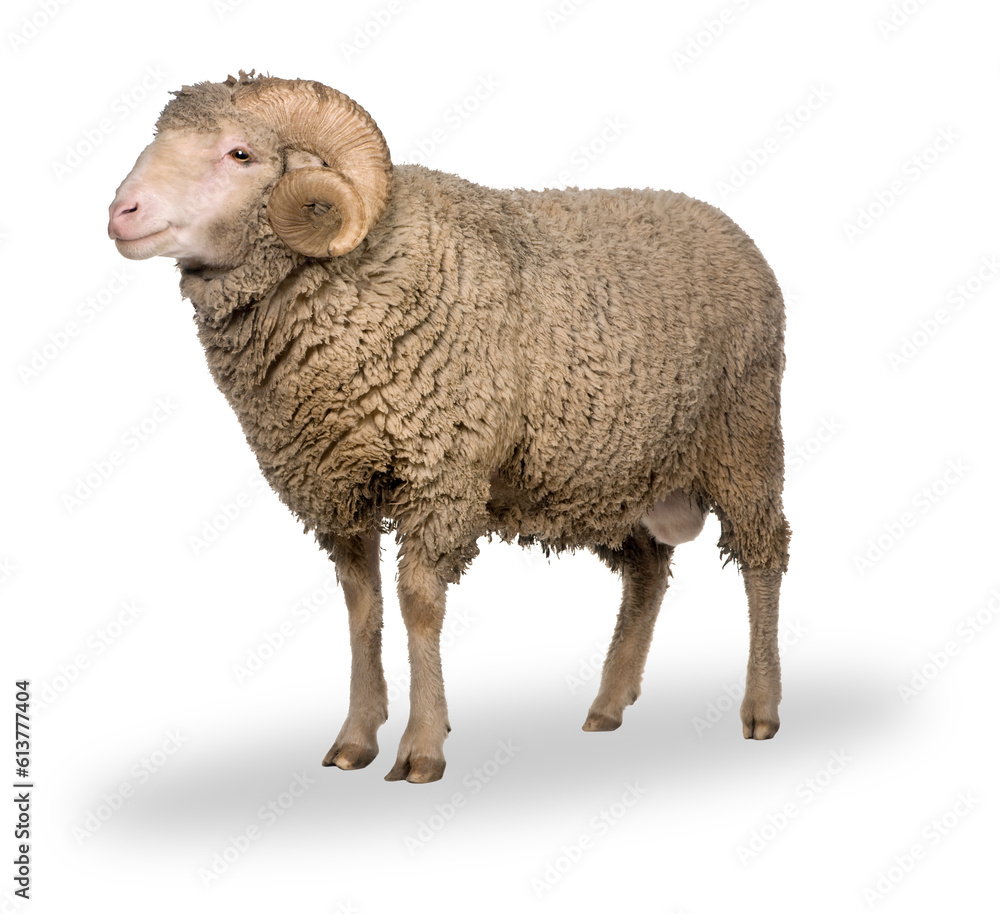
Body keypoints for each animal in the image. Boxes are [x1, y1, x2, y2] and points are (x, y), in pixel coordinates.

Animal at [108, 71, 791, 783]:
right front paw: (356, 737)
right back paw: (609, 704)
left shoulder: (442, 470)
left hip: (743, 439)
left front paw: (422, 747)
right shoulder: (341, 481)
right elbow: (361, 607)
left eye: (240, 154)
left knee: (764, 555)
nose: (120, 213)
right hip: (609, 471)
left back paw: (761, 707)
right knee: (648, 569)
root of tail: (725, 225)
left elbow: (418, 603)